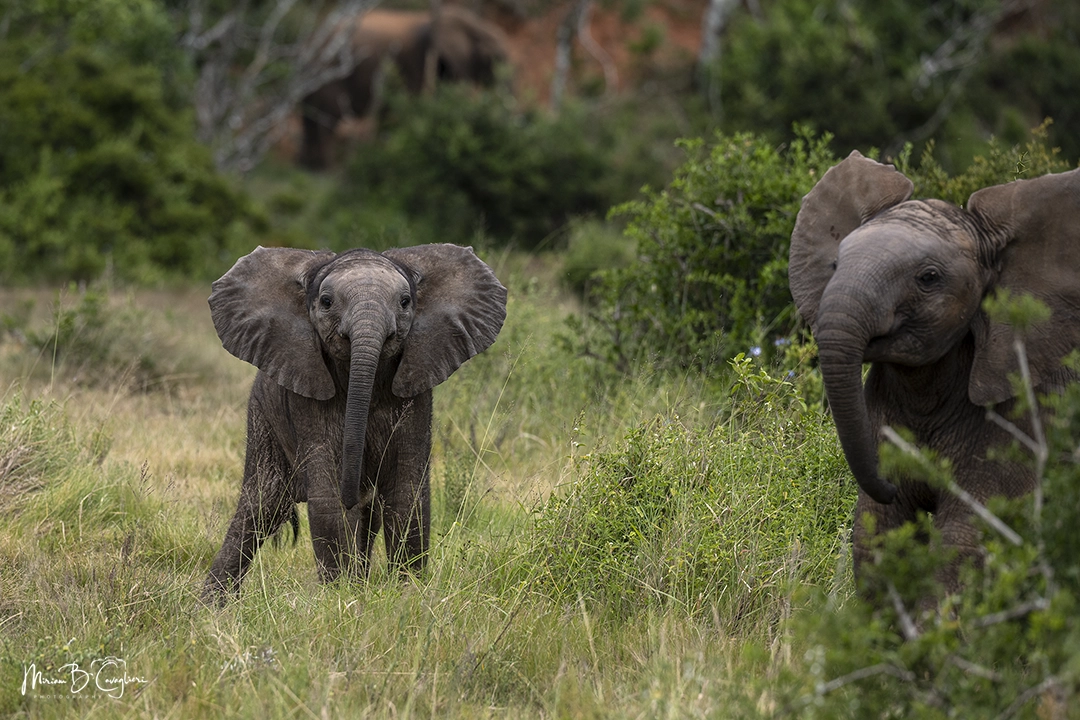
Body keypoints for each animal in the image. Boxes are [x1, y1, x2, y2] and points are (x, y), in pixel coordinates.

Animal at [202, 243, 507, 602]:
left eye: (406, 301)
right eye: (326, 301)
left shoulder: (417, 387)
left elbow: (406, 493)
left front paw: (406, 594)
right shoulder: (309, 393)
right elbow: (329, 498)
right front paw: (339, 597)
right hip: (262, 414)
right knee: (262, 505)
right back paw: (209, 607)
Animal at [299, 7, 510, 168]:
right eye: (495, 58)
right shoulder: (418, 61)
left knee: (309, 120)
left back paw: (309, 167)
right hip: (328, 71)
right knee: (328, 118)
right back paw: (330, 170)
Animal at [788, 150, 1080, 593]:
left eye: (928, 278)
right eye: (835, 263)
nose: (888, 483)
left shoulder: (1027, 417)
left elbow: (963, 541)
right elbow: (876, 535)